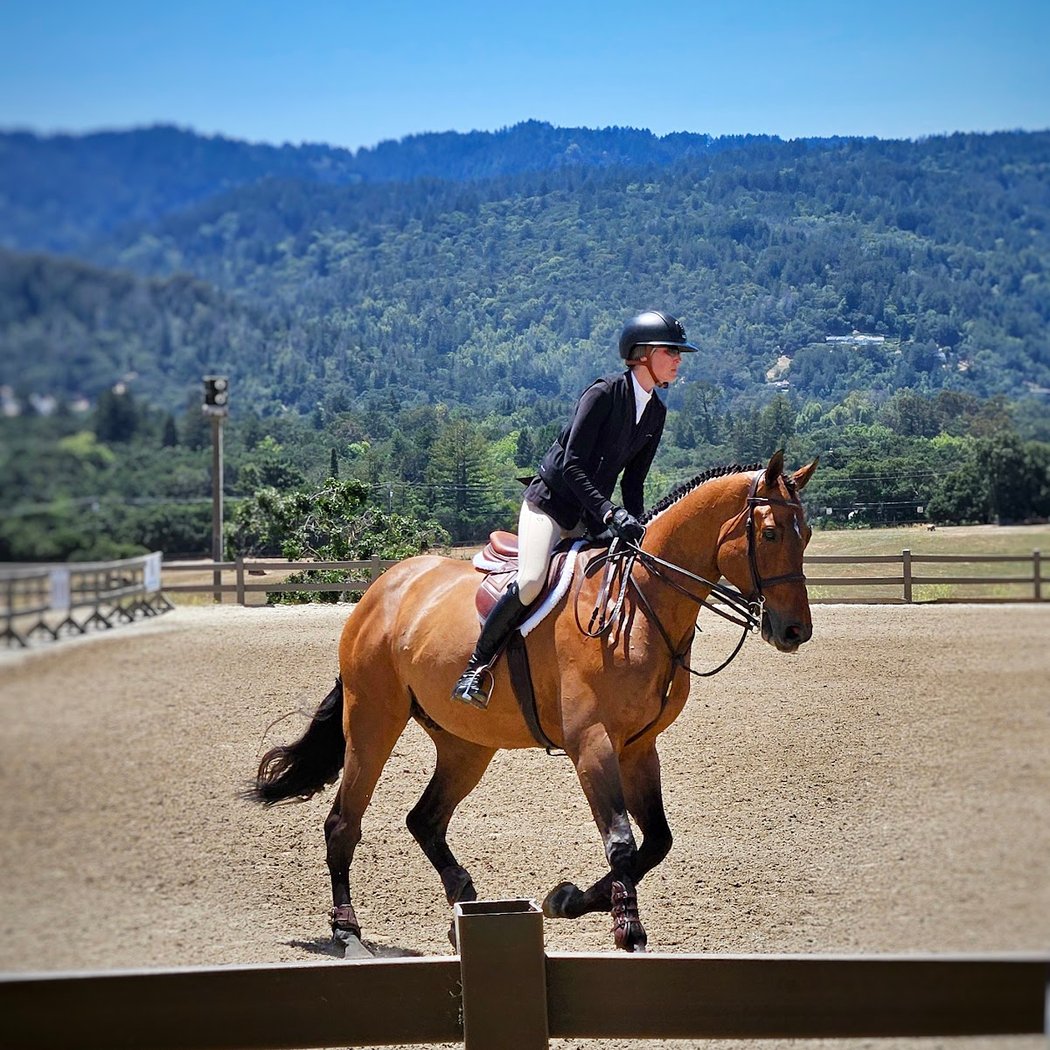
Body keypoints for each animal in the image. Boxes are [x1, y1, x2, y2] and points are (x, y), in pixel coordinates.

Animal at [249, 450, 818, 955]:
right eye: (770, 533)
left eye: (806, 534)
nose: (795, 631)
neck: (639, 603)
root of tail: (382, 587)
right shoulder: (592, 744)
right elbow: (622, 840)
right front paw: (626, 928)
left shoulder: (639, 747)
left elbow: (656, 841)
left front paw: (569, 899)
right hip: (373, 719)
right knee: (344, 822)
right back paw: (348, 932)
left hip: (465, 745)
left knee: (425, 819)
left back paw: (463, 903)